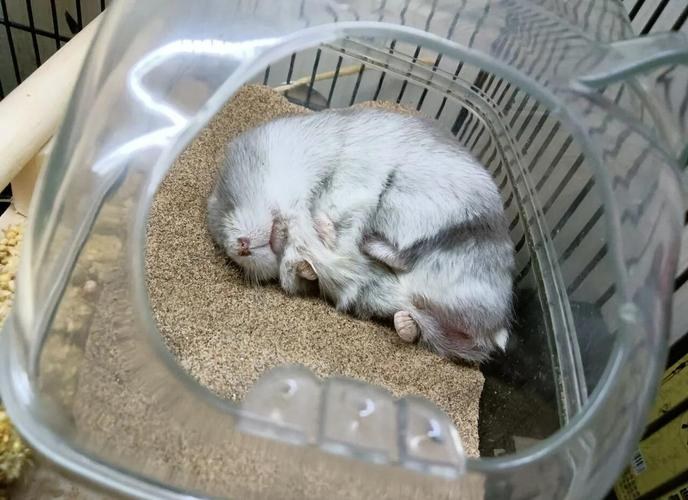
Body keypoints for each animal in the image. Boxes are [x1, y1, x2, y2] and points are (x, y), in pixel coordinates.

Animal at [208, 108, 514, 363]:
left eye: (230, 202)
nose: (240, 248)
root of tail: (497, 327)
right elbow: (306, 271)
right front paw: (307, 264)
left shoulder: (347, 181)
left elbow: (332, 211)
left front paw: (318, 230)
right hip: (442, 329)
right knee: (423, 325)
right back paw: (404, 323)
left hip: (444, 219)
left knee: (409, 254)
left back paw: (368, 244)